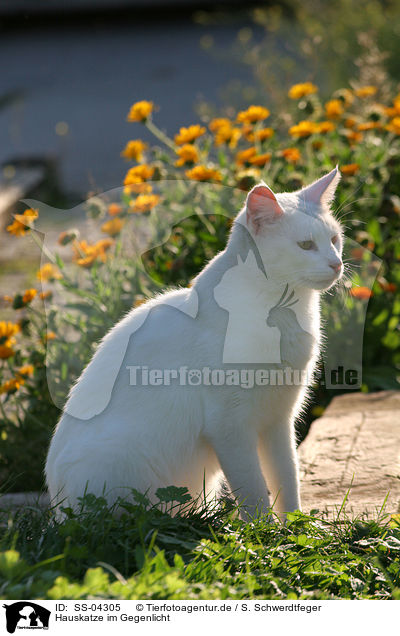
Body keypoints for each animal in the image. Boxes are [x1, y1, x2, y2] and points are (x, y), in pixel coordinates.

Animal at [44, 166, 344, 520]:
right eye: (306, 245)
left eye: (335, 240)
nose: (337, 263)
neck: (280, 313)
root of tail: (56, 513)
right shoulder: (229, 426)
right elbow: (253, 488)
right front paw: (263, 530)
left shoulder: (278, 421)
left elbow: (287, 477)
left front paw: (294, 525)